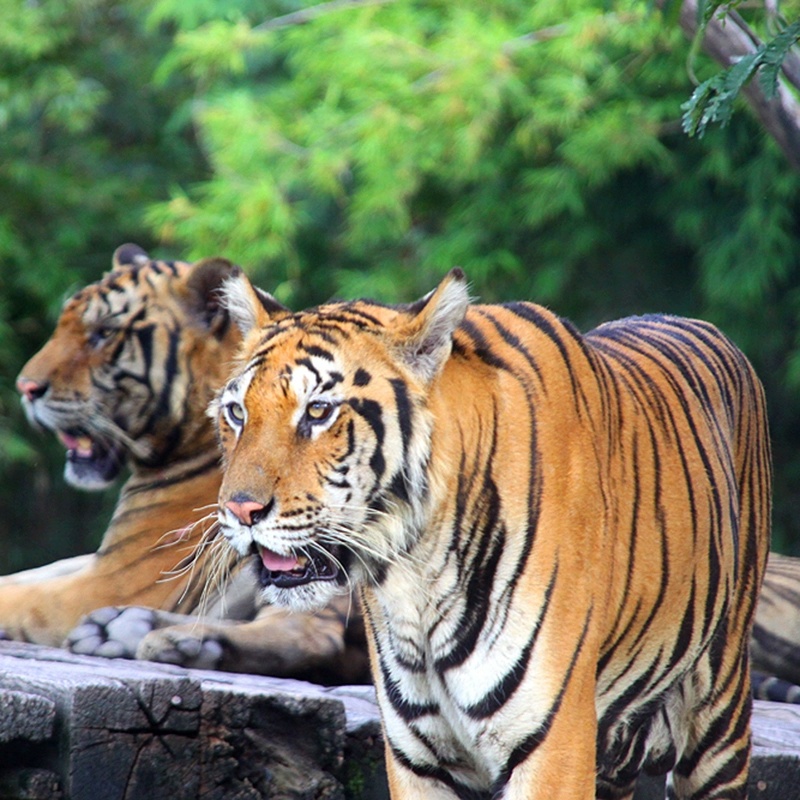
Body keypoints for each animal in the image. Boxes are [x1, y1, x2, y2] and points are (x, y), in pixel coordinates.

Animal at [4, 245, 369, 684]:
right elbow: (35, 572)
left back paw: (170, 640)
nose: (25, 387)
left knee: (313, 634)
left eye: (104, 333)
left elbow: (16, 597)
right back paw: (124, 628)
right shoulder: (98, 562)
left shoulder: (114, 579)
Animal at [212, 267, 771, 799]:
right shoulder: (418, 758)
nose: (239, 510)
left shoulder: (553, 747)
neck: (416, 575)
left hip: (717, 716)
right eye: (237, 412)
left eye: (319, 411)